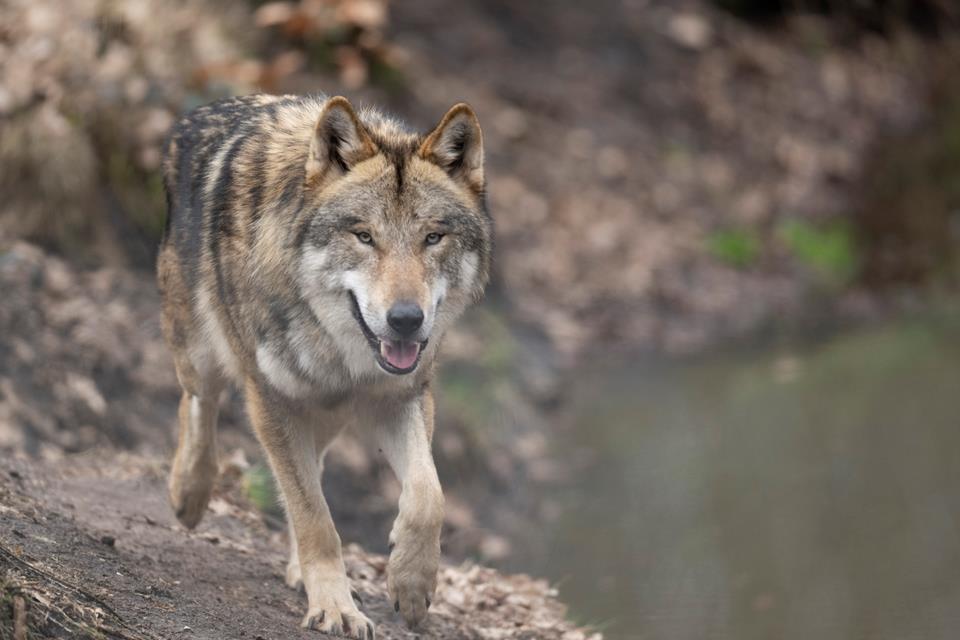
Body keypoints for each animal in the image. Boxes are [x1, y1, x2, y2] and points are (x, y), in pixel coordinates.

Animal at [157, 93, 491, 638]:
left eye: (433, 238)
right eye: (364, 236)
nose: (405, 320)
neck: (342, 350)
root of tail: (204, 111)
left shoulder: (401, 398)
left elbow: (428, 495)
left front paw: (410, 583)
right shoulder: (271, 401)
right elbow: (314, 517)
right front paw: (337, 606)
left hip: (327, 412)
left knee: (313, 464)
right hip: (201, 352)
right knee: (198, 404)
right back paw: (189, 491)